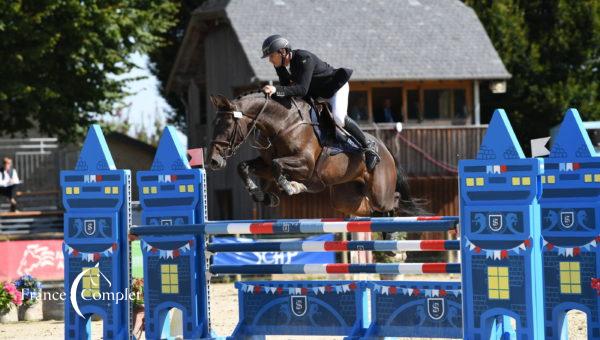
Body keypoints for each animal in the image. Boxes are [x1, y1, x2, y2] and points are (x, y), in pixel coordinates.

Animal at [206, 91, 422, 216]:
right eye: (213, 123)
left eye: (227, 125)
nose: (213, 161)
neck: (283, 124)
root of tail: (387, 151)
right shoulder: (265, 164)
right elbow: (244, 166)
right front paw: (261, 194)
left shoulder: (306, 165)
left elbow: (277, 165)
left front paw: (291, 187)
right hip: (345, 198)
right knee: (367, 209)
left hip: (380, 193)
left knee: (393, 200)